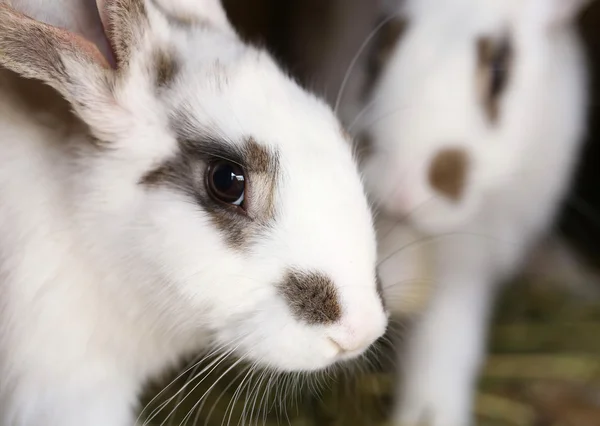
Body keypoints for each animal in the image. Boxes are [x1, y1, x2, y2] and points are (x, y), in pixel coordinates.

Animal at [344, 0, 592, 426]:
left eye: (499, 72)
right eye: (379, 45)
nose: (400, 190)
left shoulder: (466, 261)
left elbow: (444, 336)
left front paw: (430, 416)